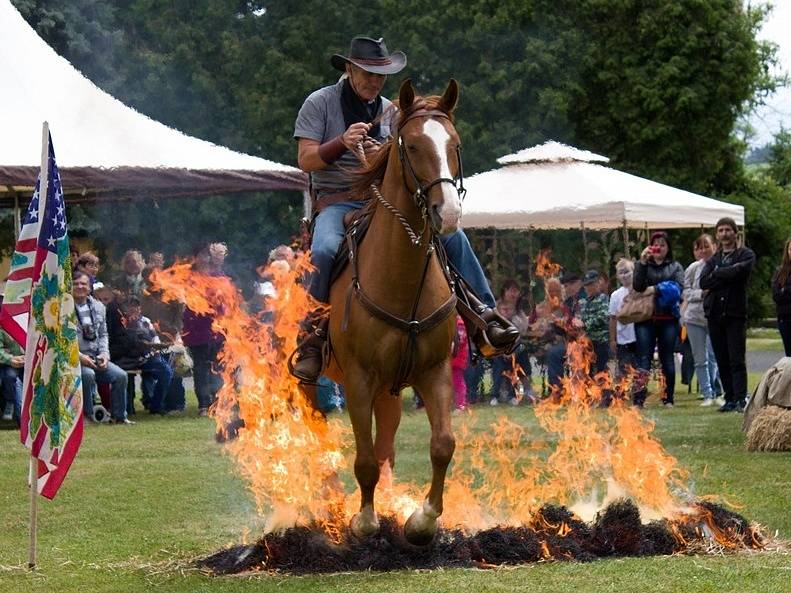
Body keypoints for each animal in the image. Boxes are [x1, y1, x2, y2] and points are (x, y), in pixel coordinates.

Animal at [324, 80, 464, 544]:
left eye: (454, 144)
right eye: (413, 145)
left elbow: (442, 445)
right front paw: (364, 522)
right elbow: (364, 460)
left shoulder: (434, 371)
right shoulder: (358, 379)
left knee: (386, 447)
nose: (448, 213)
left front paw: (422, 521)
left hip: (390, 392)